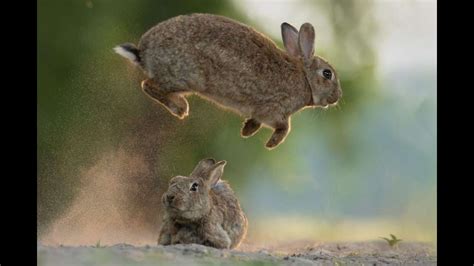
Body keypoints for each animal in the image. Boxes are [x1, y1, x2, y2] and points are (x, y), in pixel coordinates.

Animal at [115, 13, 344, 150]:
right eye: (327, 74)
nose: (337, 97)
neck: (304, 78)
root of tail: (142, 52)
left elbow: (257, 121)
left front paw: (247, 130)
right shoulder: (275, 109)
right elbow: (284, 127)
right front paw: (270, 143)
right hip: (188, 77)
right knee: (148, 85)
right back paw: (180, 108)